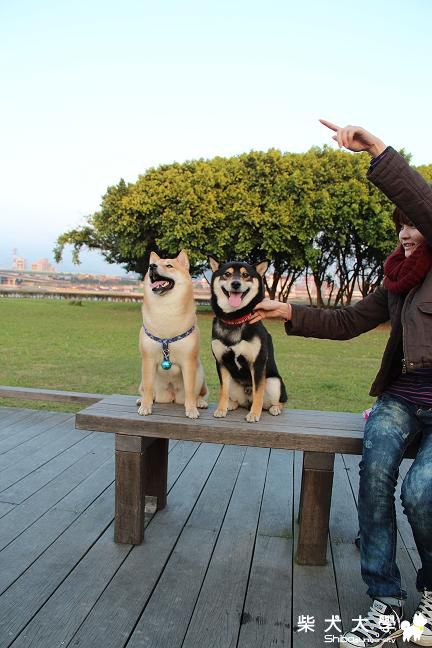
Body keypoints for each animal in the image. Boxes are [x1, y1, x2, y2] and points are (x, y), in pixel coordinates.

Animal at [137, 250, 208, 419]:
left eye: (169, 265)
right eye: (152, 265)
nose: (152, 266)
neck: (165, 310)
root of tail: (171, 396)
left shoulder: (188, 361)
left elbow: (190, 390)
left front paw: (191, 409)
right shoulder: (148, 360)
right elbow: (148, 388)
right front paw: (145, 406)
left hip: (200, 374)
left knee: (199, 393)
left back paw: (200, 402)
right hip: (143, 380)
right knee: (146, 390)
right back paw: (143, 399)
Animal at [209, 257, 287, 423]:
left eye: (245, 275)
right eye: (227, 274)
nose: (235, 284)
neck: (234, 319)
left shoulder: (257, 363)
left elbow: (258, 393)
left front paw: (254, 414)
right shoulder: (221, 362)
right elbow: (222, 391)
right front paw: (221, 409)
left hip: (274, 382)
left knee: (279, 401)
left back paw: (275, 408)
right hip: (233, 382)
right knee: (237, 400)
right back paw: (231, 404)